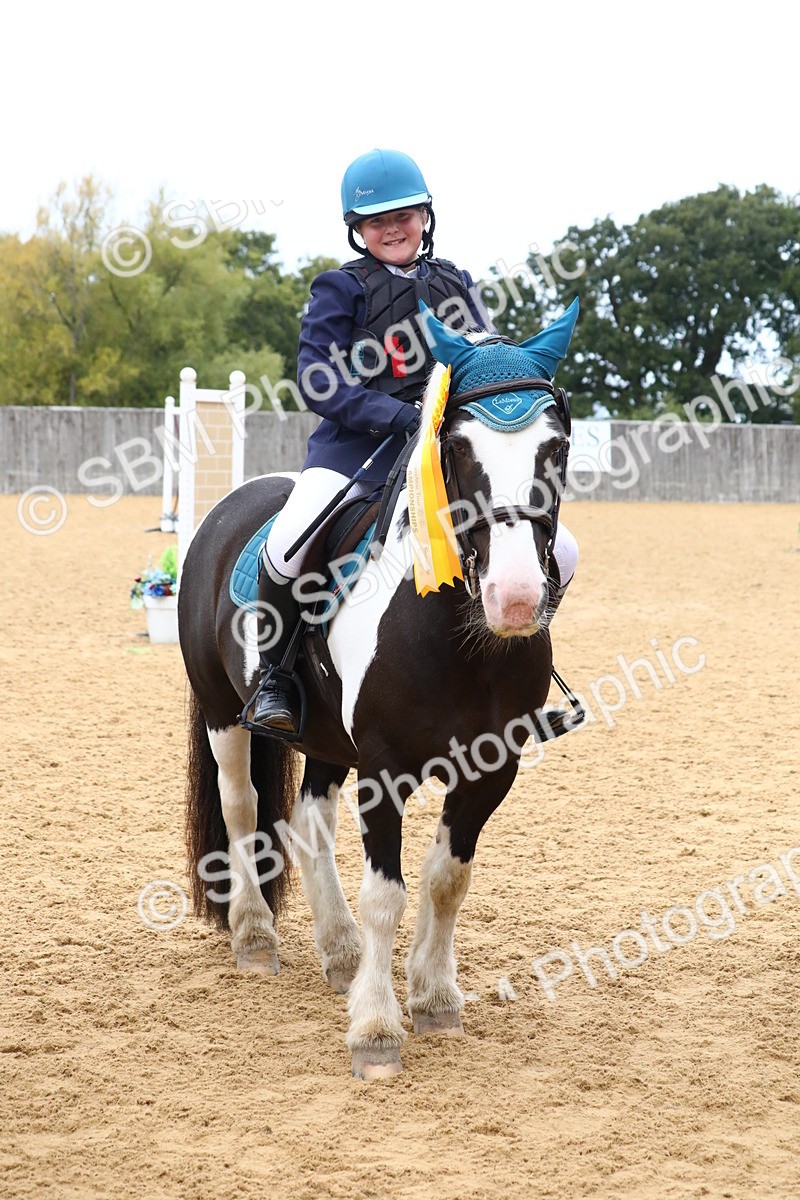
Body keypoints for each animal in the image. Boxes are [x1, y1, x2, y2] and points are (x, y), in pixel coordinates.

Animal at [178, 299, 581, 1079]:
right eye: (457, 448)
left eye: (557, 446)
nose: (516, 599)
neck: (460, 640)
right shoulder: (385, 769)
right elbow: (385, 894)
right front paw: (375, 1030)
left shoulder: (491, 769)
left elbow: (445, 880)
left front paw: (434, 1000)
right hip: (223, 714)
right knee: (242, 807)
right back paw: (256, 937)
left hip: (325, 739)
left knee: (307, 822)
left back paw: (338, 952)